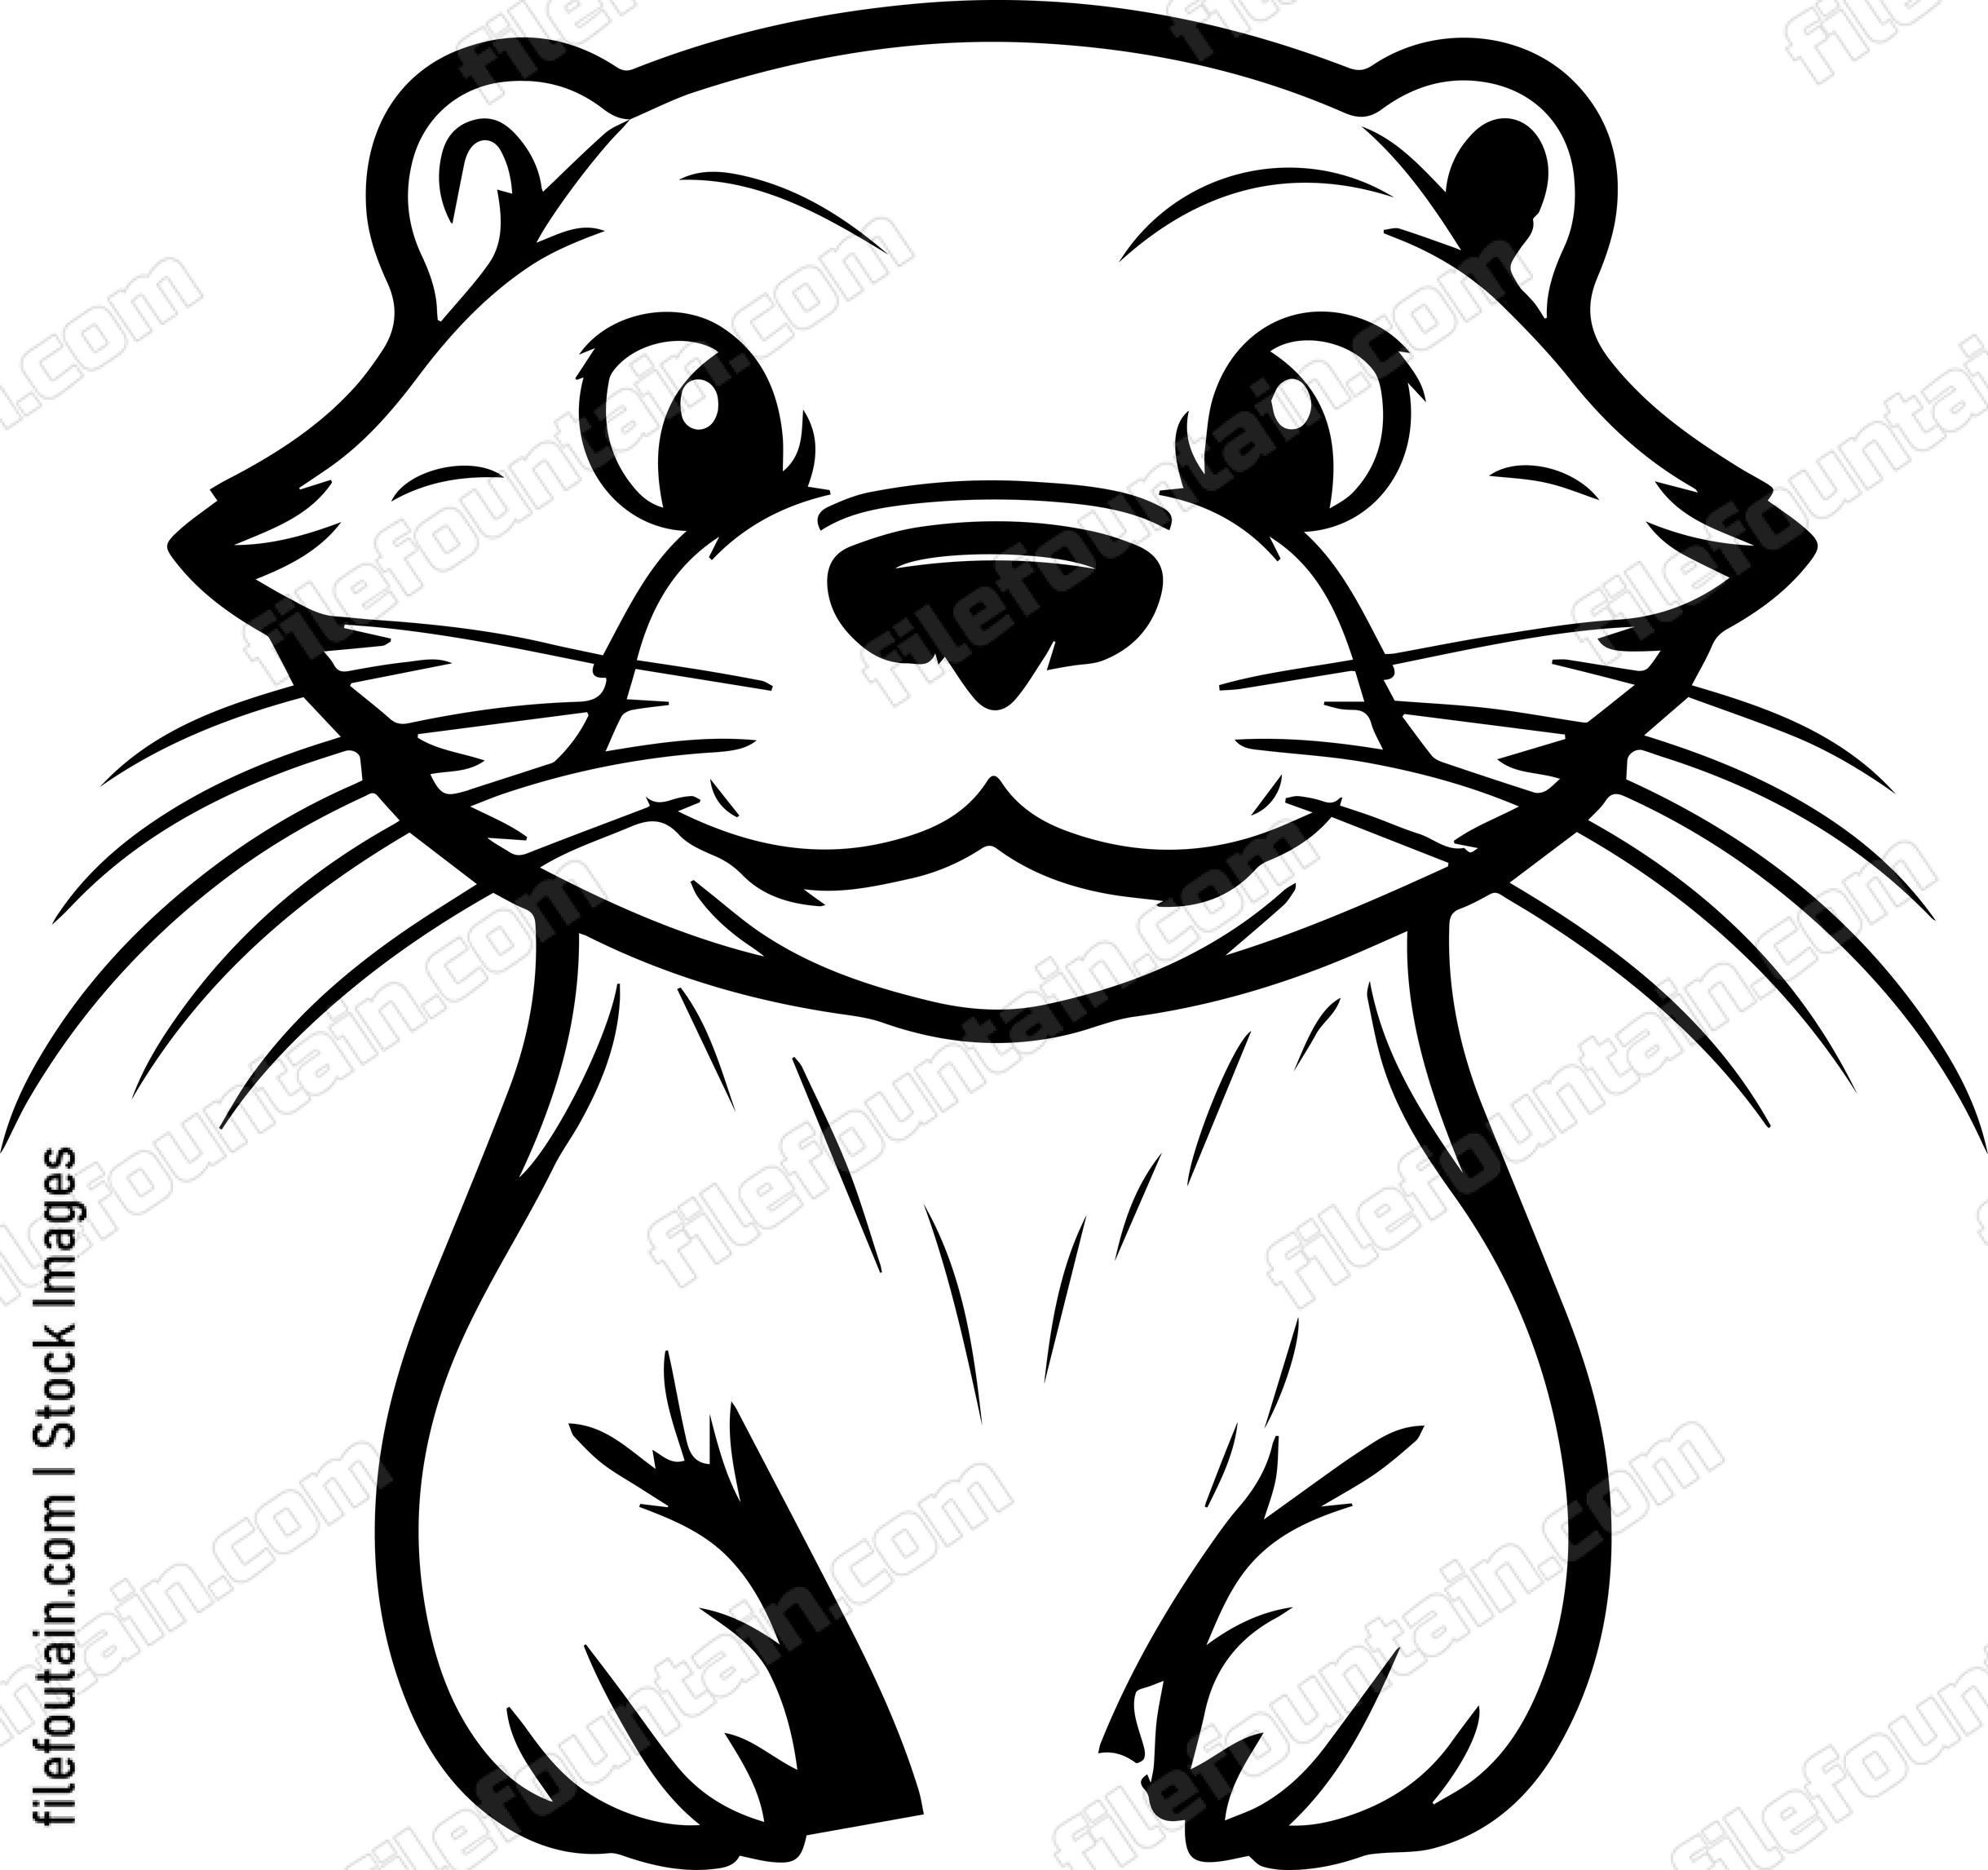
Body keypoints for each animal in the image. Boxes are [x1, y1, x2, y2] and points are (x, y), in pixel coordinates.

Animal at [11, 6, 1972, 1866]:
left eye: (1300, 417)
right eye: (687, 417)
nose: (997, 578)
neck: (1002, 1165)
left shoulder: (1417, 1328)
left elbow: (1443, 1487)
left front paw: (1317, 1731)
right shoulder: (561, 1327)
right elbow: (534, 1487)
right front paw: (659, 1731)